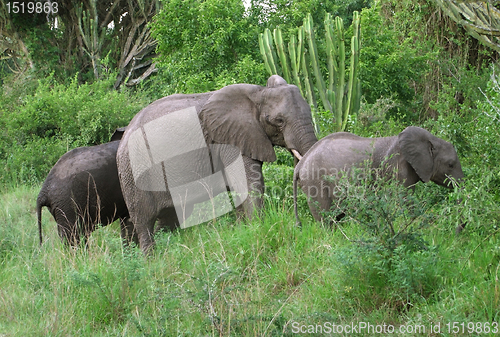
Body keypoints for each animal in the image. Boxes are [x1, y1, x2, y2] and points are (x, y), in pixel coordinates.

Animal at [117, 74, 316, 252]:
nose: (299, 225)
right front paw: (258, 229)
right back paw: (151, 259)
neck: (259, 93)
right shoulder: (229, 139)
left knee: (169, 219)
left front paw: (243, 230)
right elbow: (248, 183)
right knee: (144, 221)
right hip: (134, 173)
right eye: (278, 121)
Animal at [292, 125, 464, 223]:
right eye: (450, 164)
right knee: (326, 218)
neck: (431, 139)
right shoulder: (397, 166)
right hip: (315, 181)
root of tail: (300, 163)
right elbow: (405, 198)